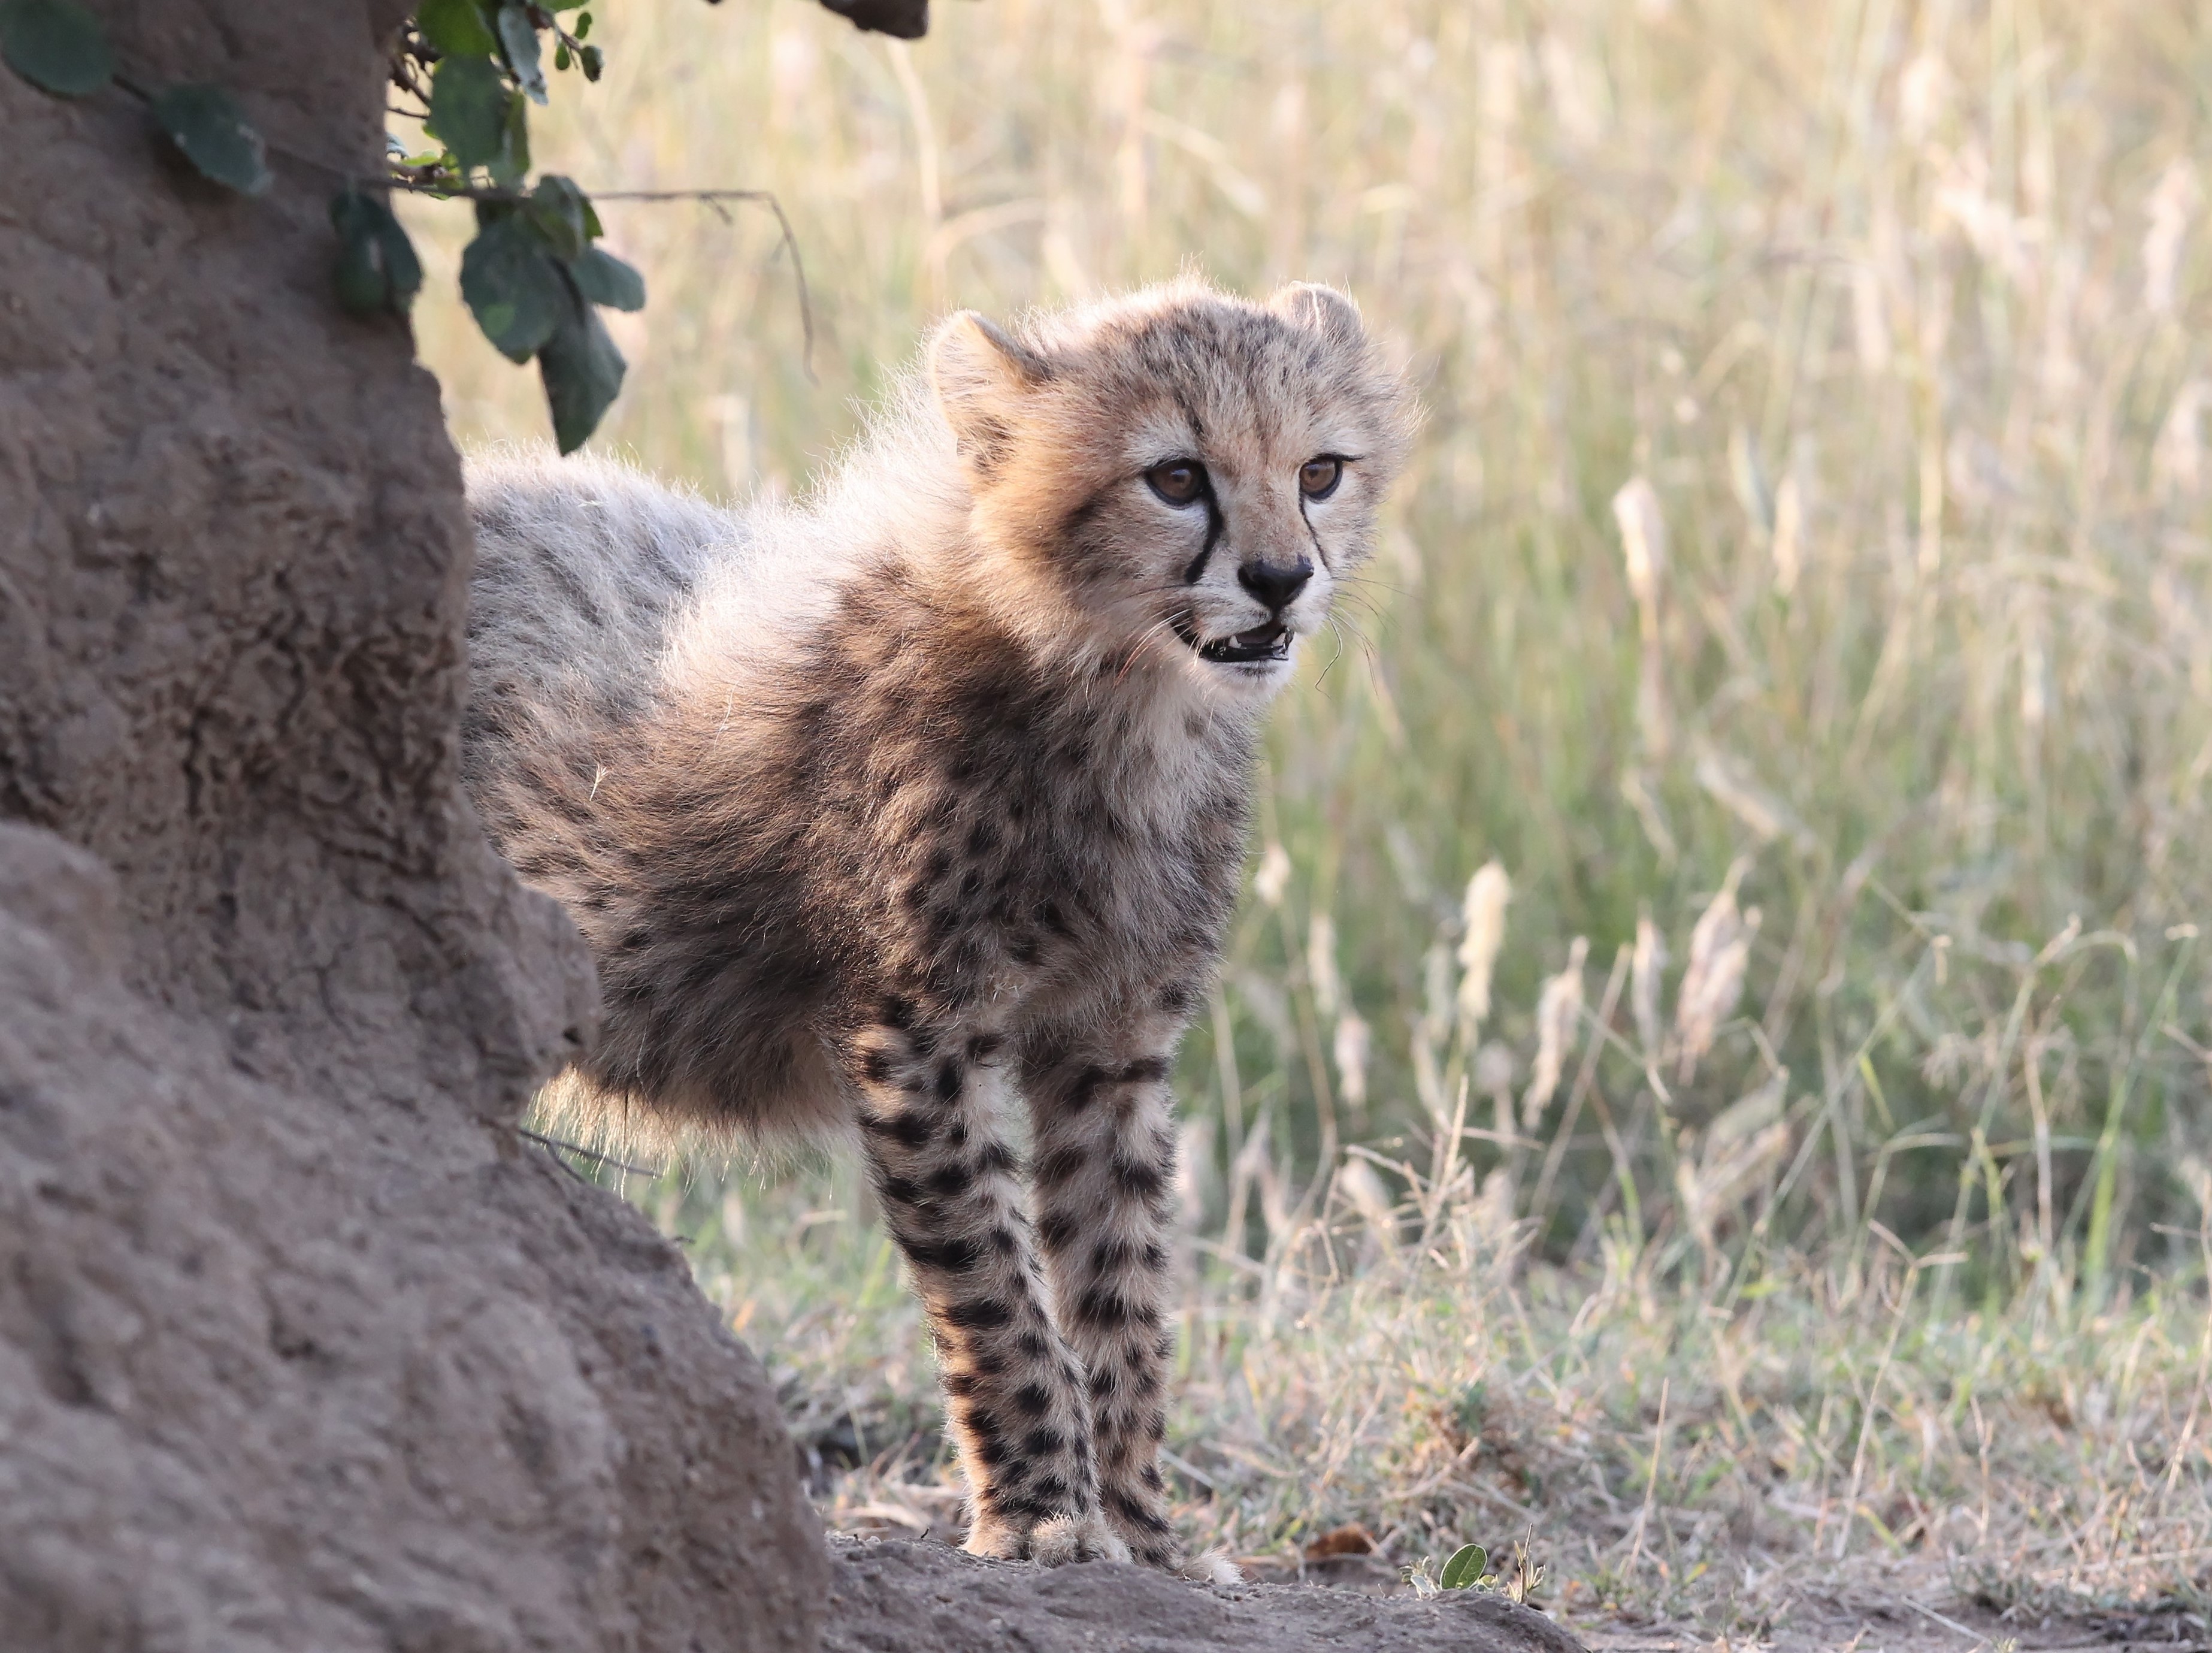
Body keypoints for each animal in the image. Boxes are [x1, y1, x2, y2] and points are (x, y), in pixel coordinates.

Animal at [458, 278, 1415, 1570]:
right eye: (1174, 477)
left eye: (1319, 469)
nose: (1278, 578)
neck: (1116, 688)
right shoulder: (916, 1034)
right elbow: (995, 1284)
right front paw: (1041, 1510)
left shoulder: (1110, 1041)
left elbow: (1120, 1279)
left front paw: (1139, 1523)